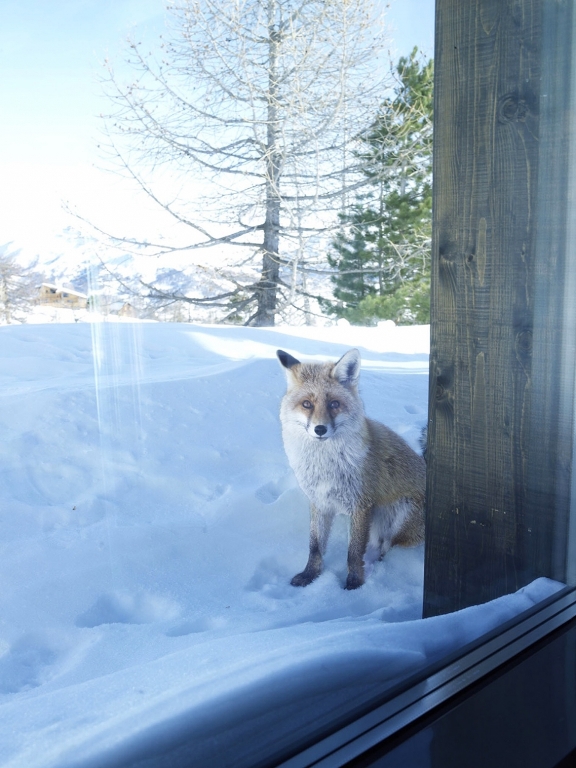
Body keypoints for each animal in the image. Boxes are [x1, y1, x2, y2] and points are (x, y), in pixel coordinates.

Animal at [276, 344, 426, 592]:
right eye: (307, 404)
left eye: (334, 404)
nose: (320, 429)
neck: (325, 466)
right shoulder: (320, 502)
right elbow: (315, 547)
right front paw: (310, 575)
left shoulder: (361, 505)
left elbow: (353, 553)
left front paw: (355, 583)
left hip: (398, 515)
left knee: (389, 546)